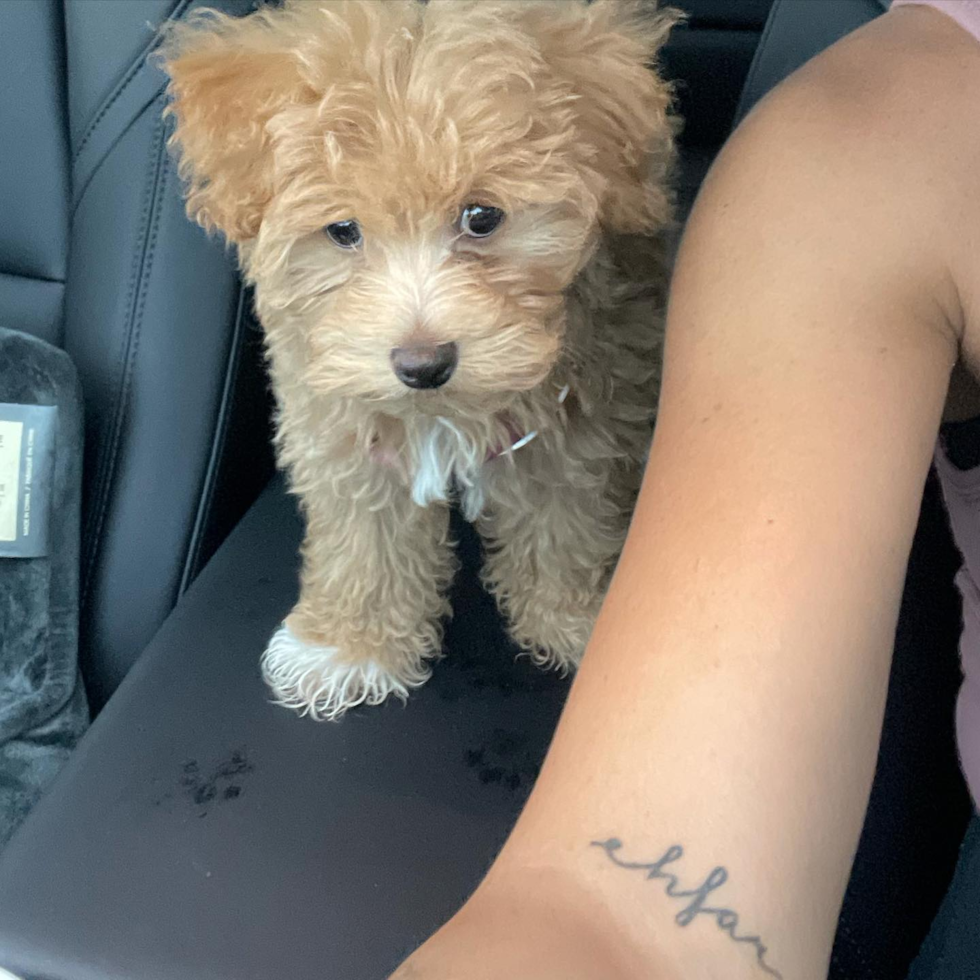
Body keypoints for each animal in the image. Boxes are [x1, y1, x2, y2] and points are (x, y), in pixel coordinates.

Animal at [163, 0, 680, 720]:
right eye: (342, 231)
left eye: (482, 216)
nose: (423, 364)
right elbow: (366, 540)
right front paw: (351, 646)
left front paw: (577, 619)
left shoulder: (582, 417)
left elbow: (567, 520)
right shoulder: (342, 424)